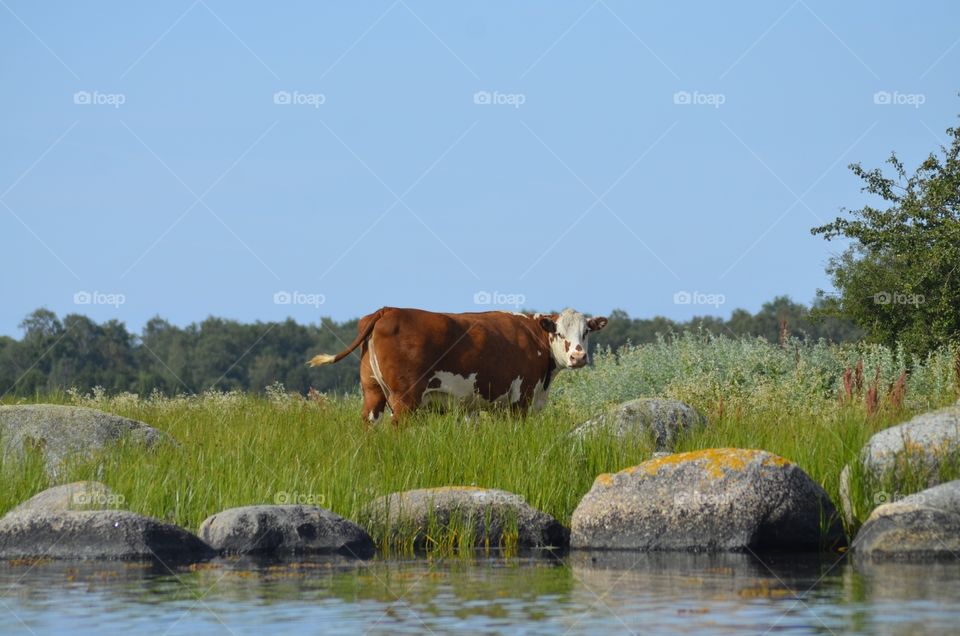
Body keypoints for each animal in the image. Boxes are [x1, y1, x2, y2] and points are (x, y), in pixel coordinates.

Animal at [307, 307, 608, 424]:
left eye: (586, 332)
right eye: (560, 332)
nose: (578, 357)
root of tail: (389, 309)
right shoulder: (520, 399)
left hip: (372, 392)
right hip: (405, 398)